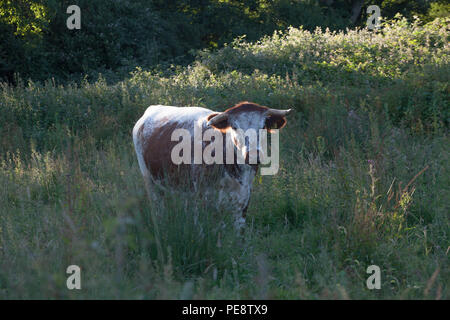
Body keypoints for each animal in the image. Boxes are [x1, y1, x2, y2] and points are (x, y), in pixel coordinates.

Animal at [131, 101, 292, 229]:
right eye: (234, 127)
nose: (253, 155)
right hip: (150, 181)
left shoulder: (243, 199)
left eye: (263, 126)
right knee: (158, 207)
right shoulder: (203, 199)